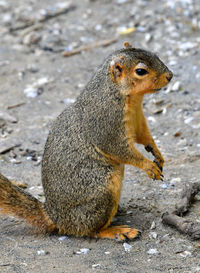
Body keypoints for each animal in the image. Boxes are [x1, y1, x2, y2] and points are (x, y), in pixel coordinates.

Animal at [0, 41, 173, 239]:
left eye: (155, 54)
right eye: (141, 71)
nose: (170, 76)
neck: (122, 93)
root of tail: (56, 218)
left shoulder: (137, 120)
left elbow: (144, 136)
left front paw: (158, 155)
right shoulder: (106, 124)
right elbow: (120, 150)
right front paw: (148, 166)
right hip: (102, 190)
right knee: (91, 230)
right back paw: (117, 231)